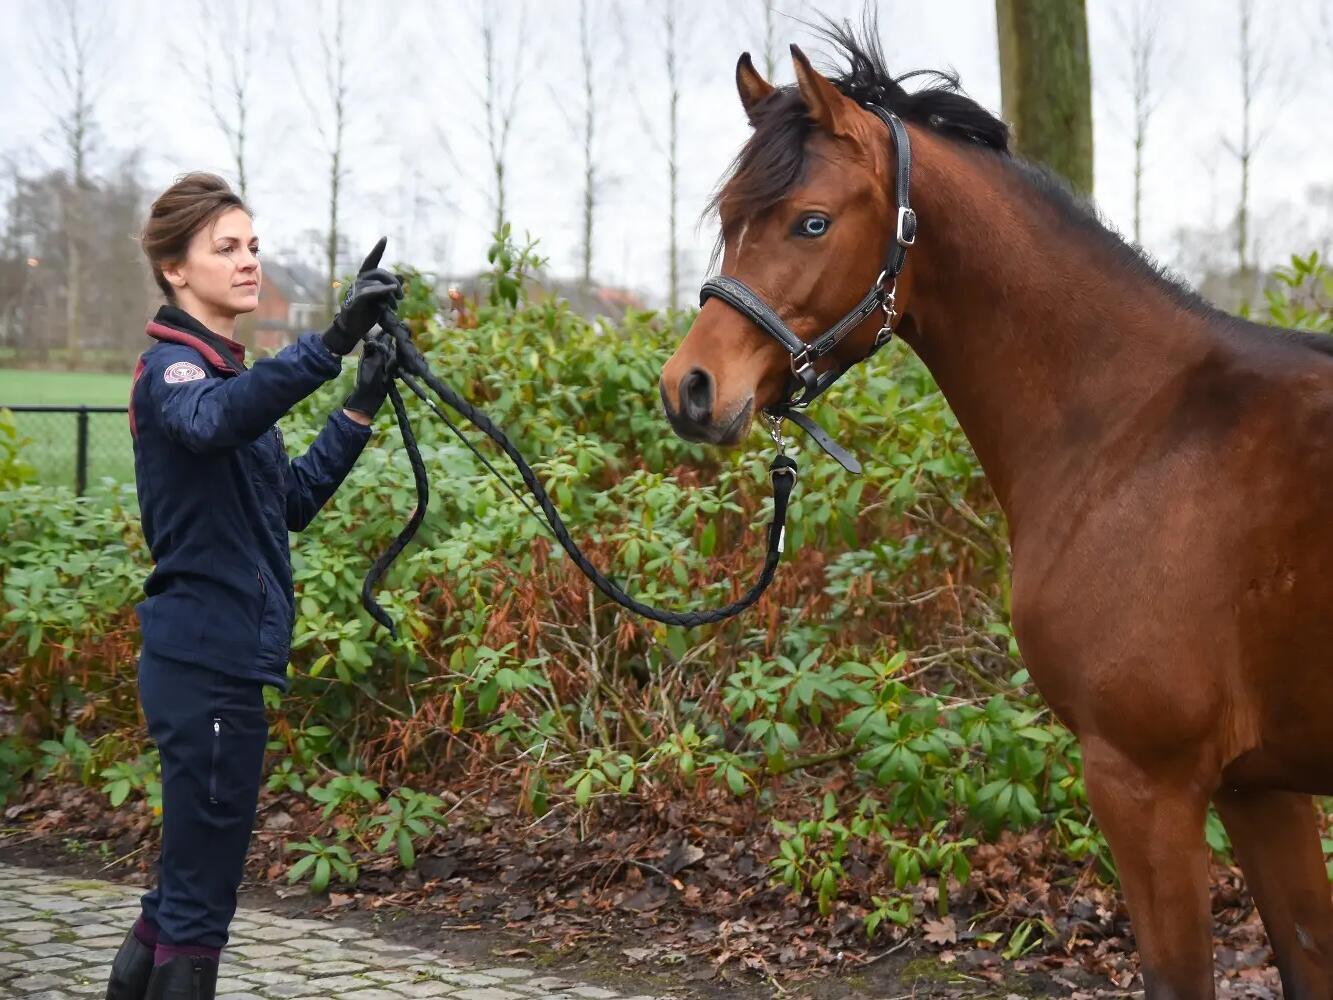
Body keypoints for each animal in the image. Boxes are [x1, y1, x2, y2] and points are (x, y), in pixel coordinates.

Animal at [661, 23, 1333, 1000]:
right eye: (729, 221)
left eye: (810, 221)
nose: (690, 388)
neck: (1141, 428)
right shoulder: (1260, 788)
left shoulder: (1148, 783)